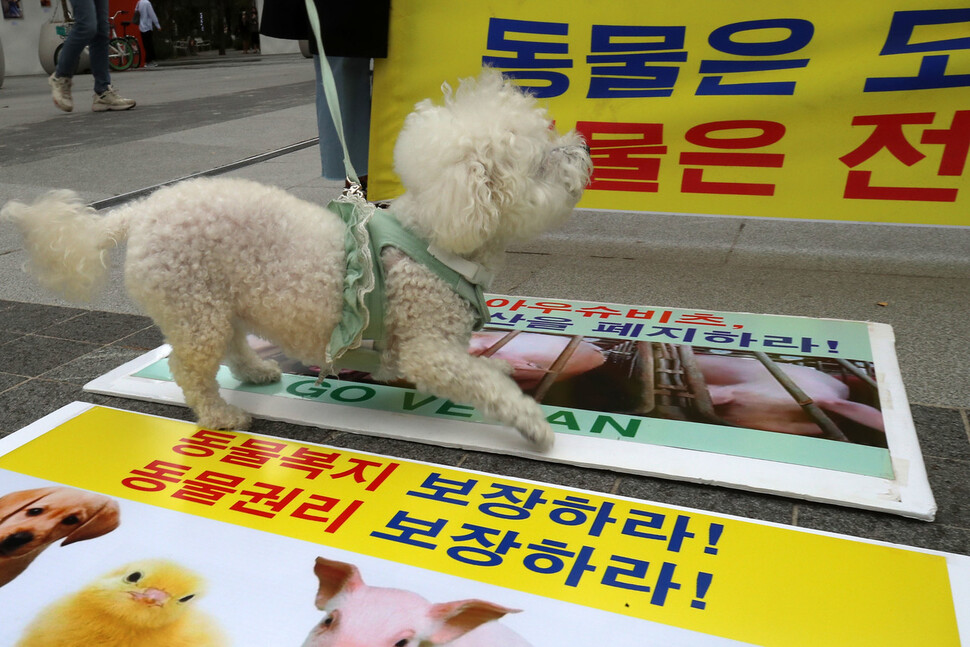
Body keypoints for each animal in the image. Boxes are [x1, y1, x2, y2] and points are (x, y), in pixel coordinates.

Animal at [1, 69, 588, 450]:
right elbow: (478, 382)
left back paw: (256, 370)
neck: (440, 237)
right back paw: (221, 414)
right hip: (193, 303)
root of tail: (141, 211)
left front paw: (503, 366)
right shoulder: (426, 349)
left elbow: (481, 368)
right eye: (541, 161)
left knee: (232, 344)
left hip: (221, 299)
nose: (584, 147)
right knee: (190, 366)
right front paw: (531, 422)